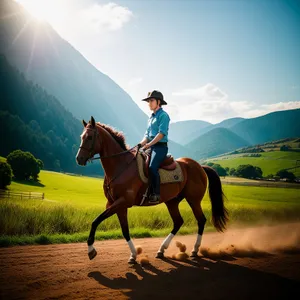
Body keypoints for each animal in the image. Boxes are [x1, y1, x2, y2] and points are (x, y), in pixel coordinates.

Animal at [76, 116, 229, 264]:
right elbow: (124, 230)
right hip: (172, 202)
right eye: (81, 136)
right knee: (178, 222)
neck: (121, 166)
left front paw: (91, 250)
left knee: (201, 220)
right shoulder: (116, 204)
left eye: (90, 137)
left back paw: (195, 250)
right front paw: (133, 255)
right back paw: (161, 249)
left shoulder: (123, 202)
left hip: (194, 200)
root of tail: (200, 167)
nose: (79, 159)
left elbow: (96, 221)